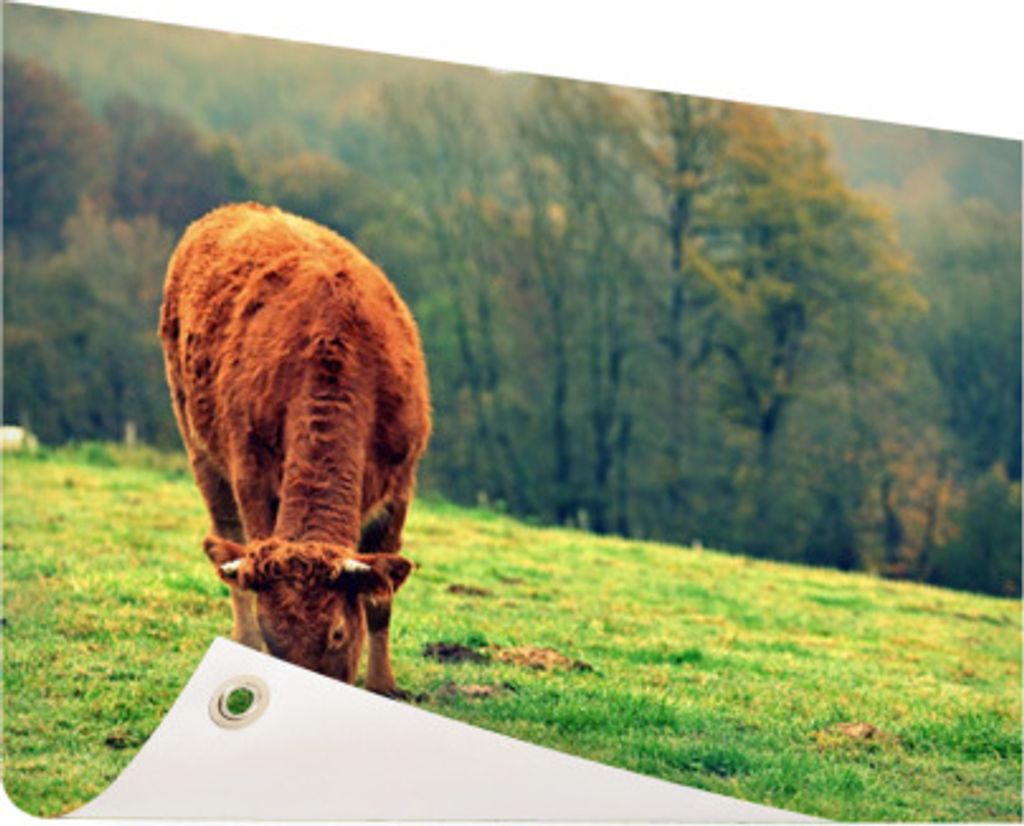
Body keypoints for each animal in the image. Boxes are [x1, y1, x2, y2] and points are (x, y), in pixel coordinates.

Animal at [159, 202, 431, 696]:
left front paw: (382, 685)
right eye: (275, 639)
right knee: (226, 535)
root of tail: (234, 209)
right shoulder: (251, 475)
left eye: (338, 632)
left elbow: (380, 601)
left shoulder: (399, 488)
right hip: (199, 446)